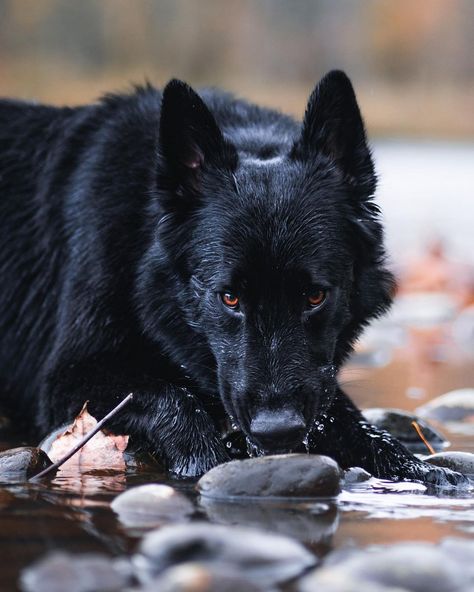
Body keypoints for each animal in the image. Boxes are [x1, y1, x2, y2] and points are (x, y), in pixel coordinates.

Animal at [0, 70, 466, 486]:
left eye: (315, 296)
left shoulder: (318, 383)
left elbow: (353, 422)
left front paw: (417, 468)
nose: (278, 430)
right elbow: (172, 397)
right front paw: (204, 459)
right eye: (229, 298)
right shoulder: (68, 379)